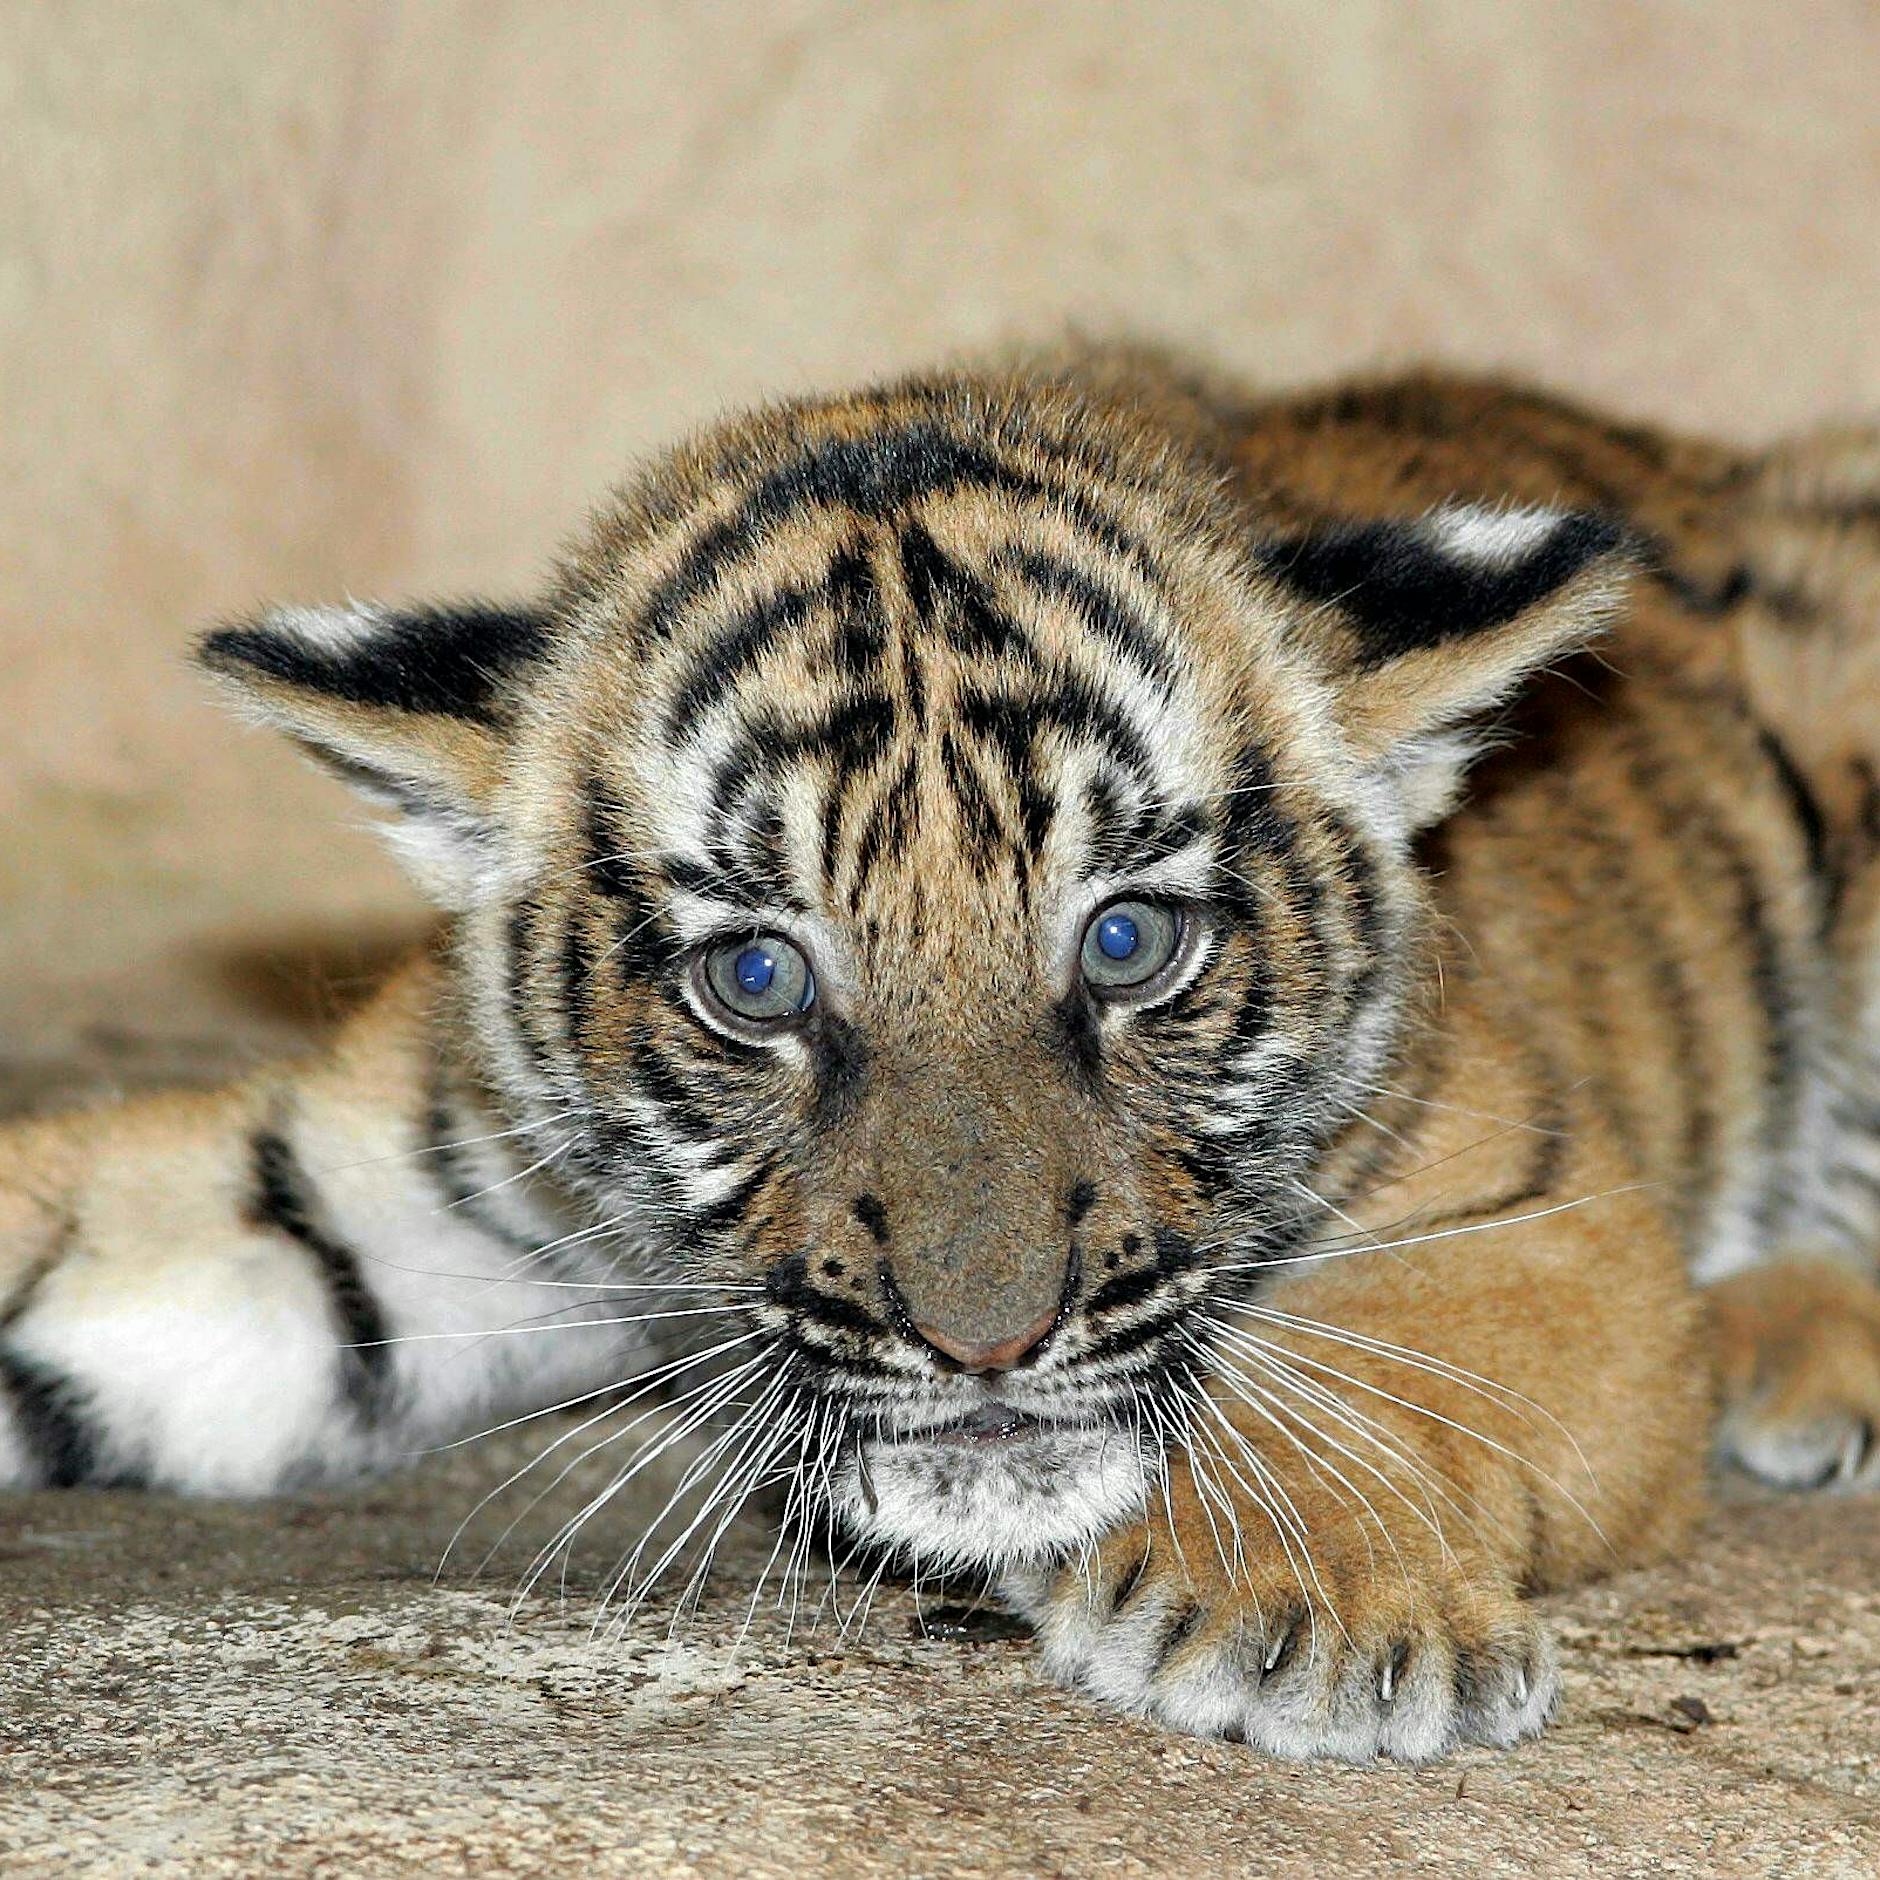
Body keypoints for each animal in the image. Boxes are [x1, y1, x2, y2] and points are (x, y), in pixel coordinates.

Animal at [4, 344, 1880, 1765]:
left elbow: (1391, 1368)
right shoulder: (357, 1183)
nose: (988, 1344)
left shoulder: (1544, 1206)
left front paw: (1294, 1608)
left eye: (1127, 943)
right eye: (757, 977)